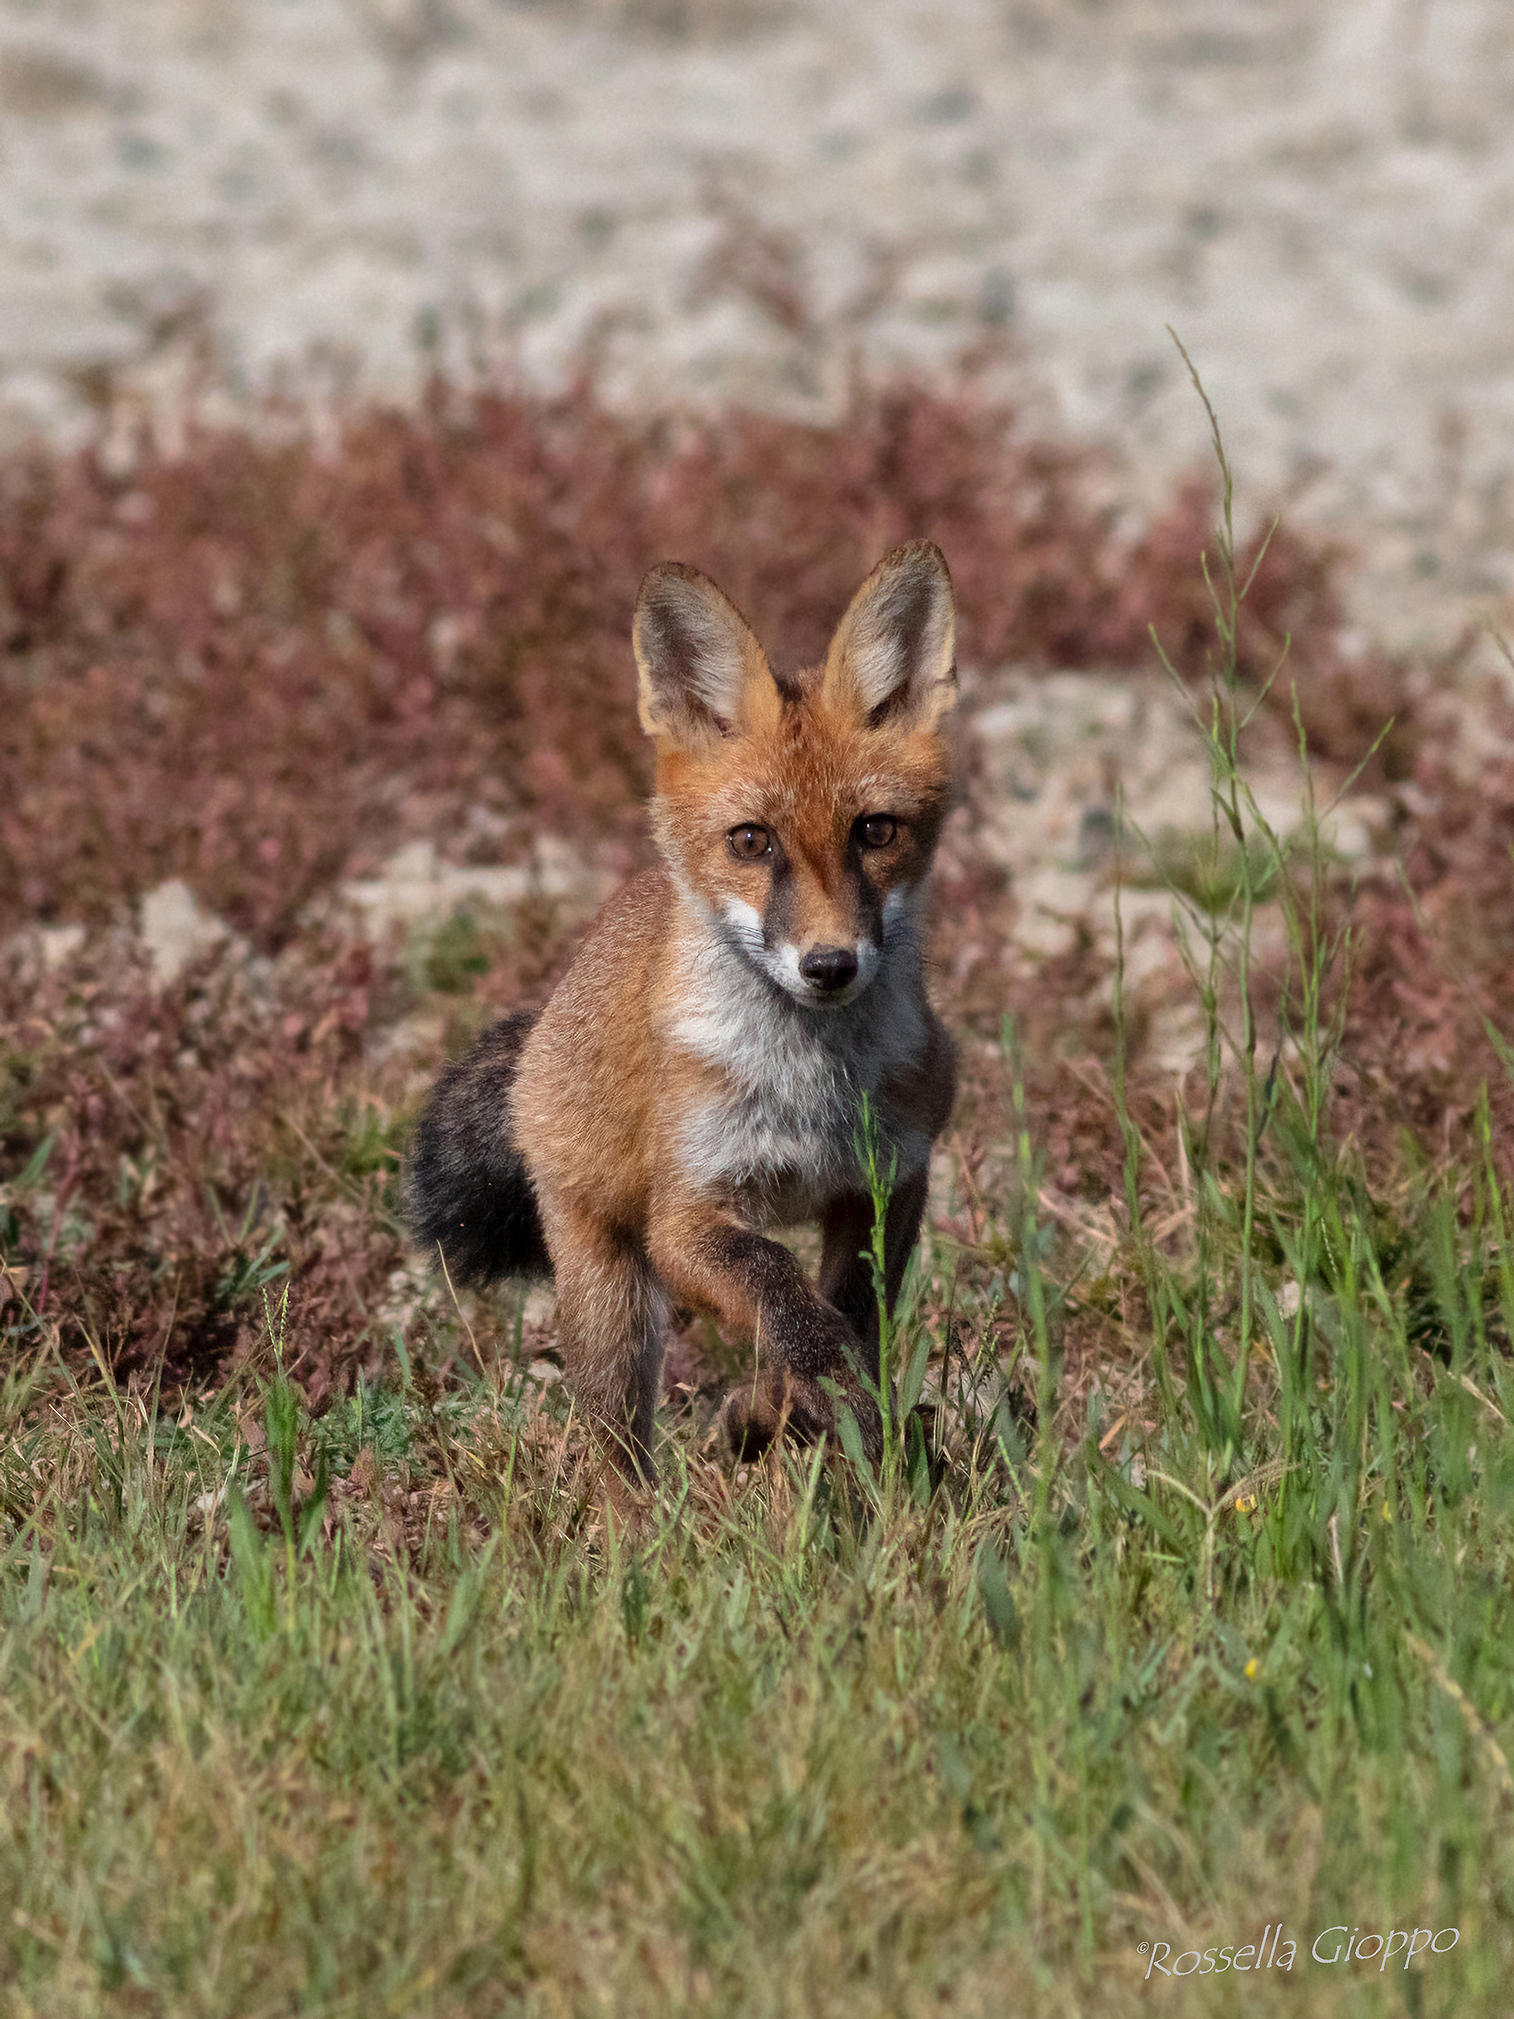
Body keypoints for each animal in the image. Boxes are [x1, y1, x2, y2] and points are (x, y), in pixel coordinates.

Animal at [406, 540, 959, 1480]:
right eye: (751, 841)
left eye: (876, 831)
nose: (829, 964)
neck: (810, 1089)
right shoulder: (688, 1216)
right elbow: (787, 1296)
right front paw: (830, 1403)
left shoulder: (889, 1182)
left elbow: (838, 1313)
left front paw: (778, 1412)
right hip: (611, 1298)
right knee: (615, 1456)